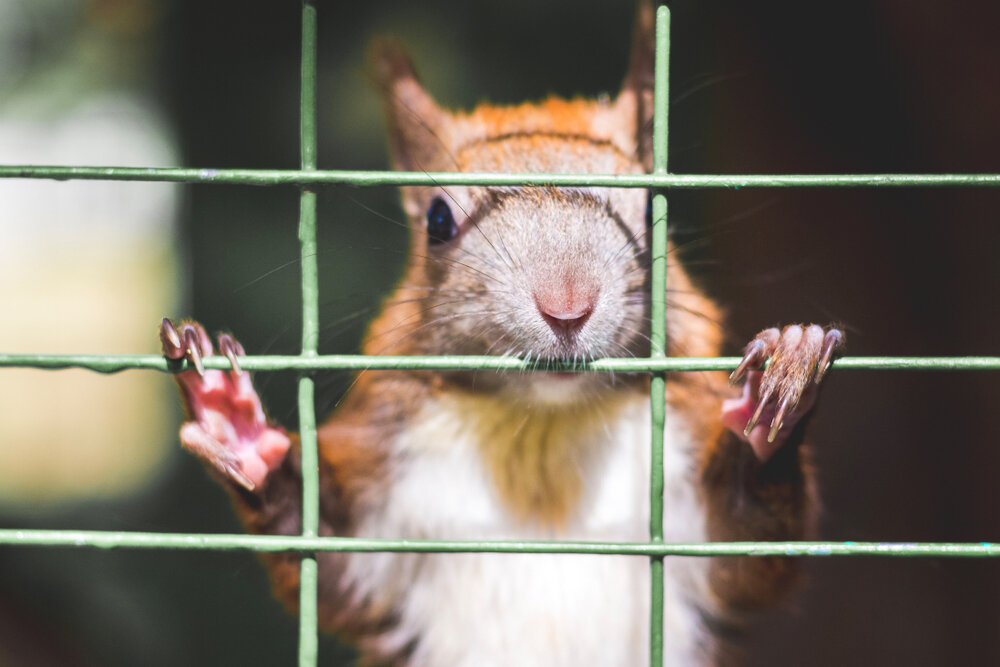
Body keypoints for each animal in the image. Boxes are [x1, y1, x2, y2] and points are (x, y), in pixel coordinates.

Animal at [160, 3, 843, 665]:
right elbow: (328, 569)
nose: (566, 305)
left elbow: (751, 552)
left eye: (653, 210)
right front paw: (235, 422)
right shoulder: (384, 508)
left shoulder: (688, 514)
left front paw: (782, 383)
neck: (541, 434)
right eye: (437, 221)